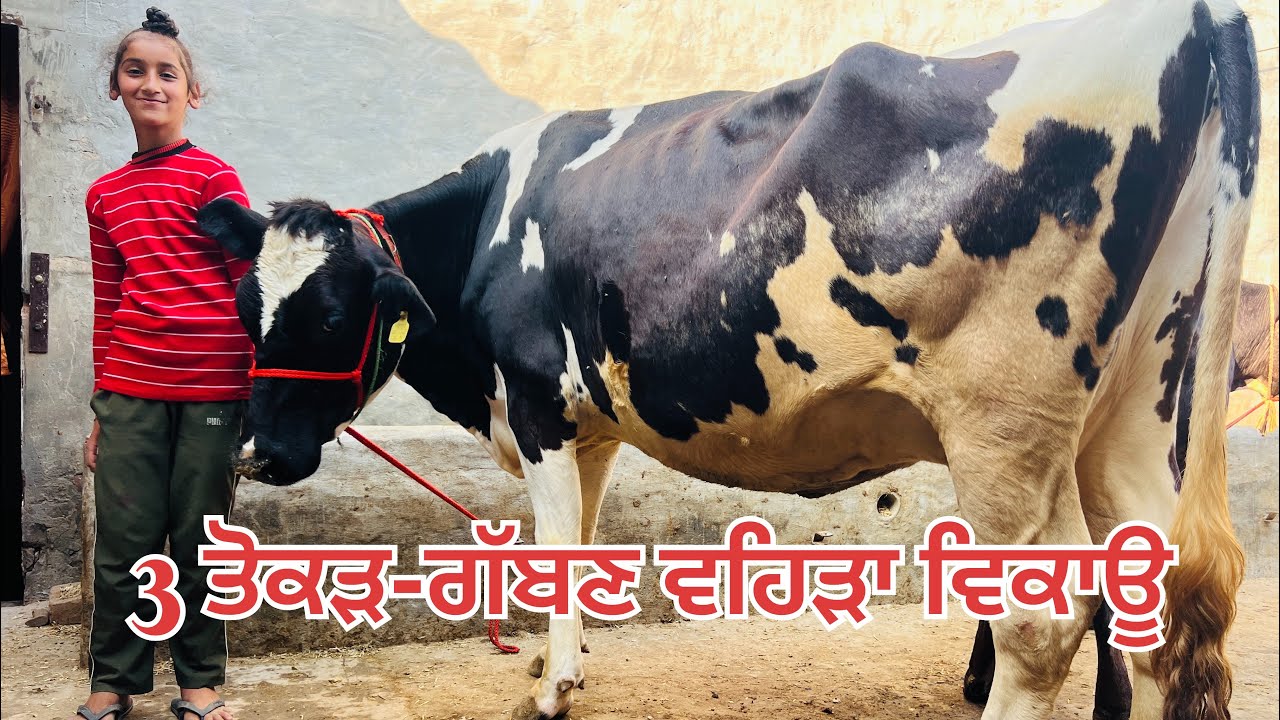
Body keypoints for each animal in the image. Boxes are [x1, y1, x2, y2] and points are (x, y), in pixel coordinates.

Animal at [197, 0, 1261, 718]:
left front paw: (550, 690)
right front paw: (557, 664)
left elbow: (555, 548)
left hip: (1007, 421)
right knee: (1159, 603)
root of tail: (1187, 15)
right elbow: (582, 541)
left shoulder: (537, 400)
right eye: (248, 306)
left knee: (1047, 620)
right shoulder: (589, 424)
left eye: (333, 313)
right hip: (1133, 409)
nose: (254, 452)